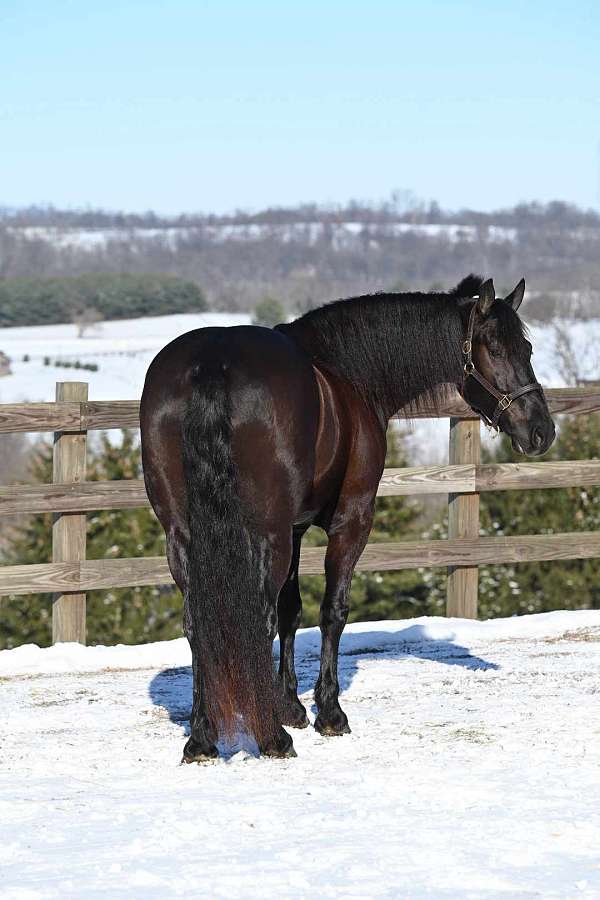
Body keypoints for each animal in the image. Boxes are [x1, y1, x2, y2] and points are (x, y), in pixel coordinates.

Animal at [139, 272, 552, 760]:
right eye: (497, 349)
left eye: (527, 349)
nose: (542, 431)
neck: (347, 375)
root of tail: (212, 364)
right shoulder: (351, 519)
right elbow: (332, 610)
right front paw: (329, 714)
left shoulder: (295, 529)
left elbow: (291, 610)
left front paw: (291, 706)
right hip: (266, 533)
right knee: (257, 616)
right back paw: (272, 739)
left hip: (183, 535)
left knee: (197, 620)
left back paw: (203, 737)